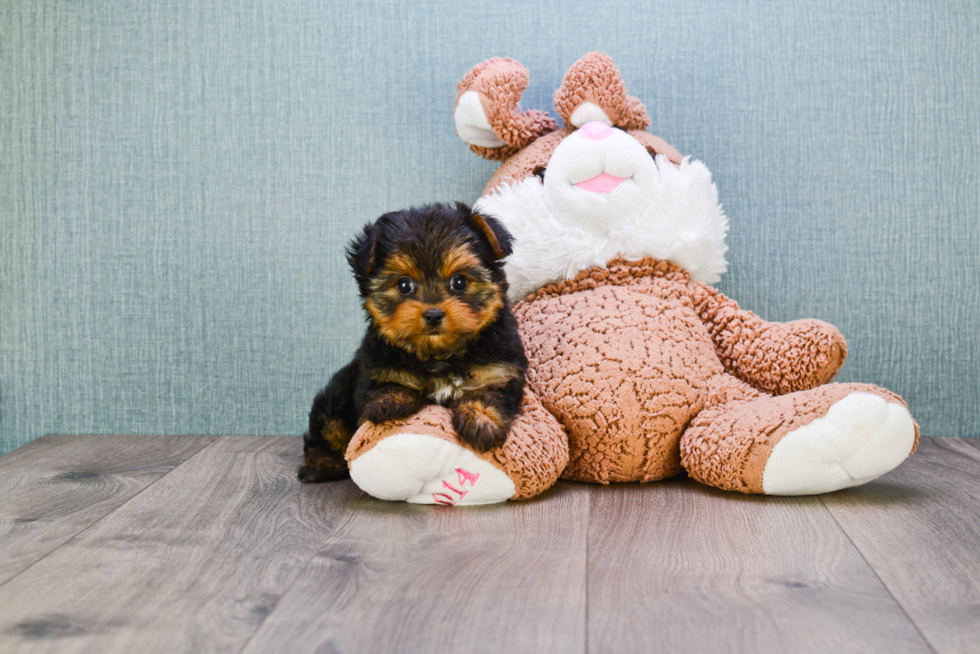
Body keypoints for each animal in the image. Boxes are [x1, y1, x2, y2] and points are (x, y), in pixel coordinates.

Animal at [298, 202, 528, 484]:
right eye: (404, 285)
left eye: (459, 282)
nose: (433, 314)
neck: (439, 354)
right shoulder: (374, 366)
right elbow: (387, 383)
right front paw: (390, 402)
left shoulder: (499, 368)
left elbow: (490, 393)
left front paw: (481, 422)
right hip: (336, 394)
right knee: (327, 428)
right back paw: (323, 464)